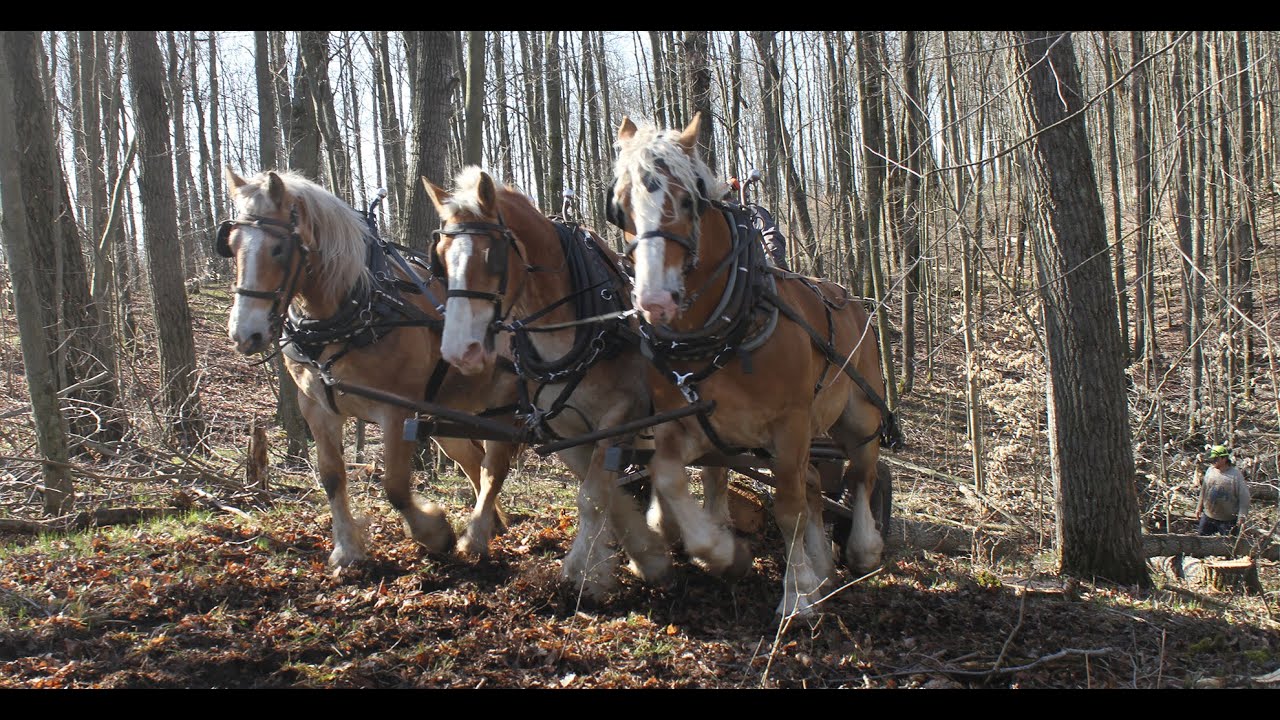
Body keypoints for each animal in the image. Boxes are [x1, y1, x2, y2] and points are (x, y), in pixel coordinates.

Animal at [218, 168, 522, 567]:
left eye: (279, 249)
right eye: (231, 244)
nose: (244, 333)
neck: (354, 310)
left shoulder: (396, 412)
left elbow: (395, 486)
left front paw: (434, 532)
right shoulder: (316, 407)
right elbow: (332, 477)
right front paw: (346, 549)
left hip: (503, 402)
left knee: (494, 467)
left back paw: (478, 535)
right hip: (447, 413)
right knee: (474, 461)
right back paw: (491, 524)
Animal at [422, 166, 672, 599]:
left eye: (492, 257)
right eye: (440, 259)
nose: (459, 350)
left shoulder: (624, 411)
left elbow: (593, 494)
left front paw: (584, 572)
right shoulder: (561, 424)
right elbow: (602, 491)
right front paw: (641, 556)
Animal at [608, 114, 898, 617]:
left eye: (687, 201)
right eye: (620, 207)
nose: (654, 302)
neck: (727, 333)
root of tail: (850, 299)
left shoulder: (790, 425)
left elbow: (788, 508)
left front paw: (796, 596)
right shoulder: (692, 427)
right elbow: (668, 476)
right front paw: (723, 553)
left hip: (858, 413)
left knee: (862, 475)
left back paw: (862, 548)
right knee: (816, 484)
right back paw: (823, 569)